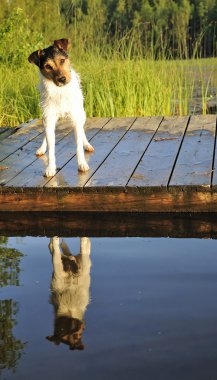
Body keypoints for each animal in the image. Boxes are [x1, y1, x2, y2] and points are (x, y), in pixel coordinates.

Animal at [28, 37, 94, 177]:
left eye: (62, 60)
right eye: (48, 66)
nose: (62, 79)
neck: (60, 92)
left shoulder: (76, 119)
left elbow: (78, 146)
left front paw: (82, 164)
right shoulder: (49, 120)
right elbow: (51, 148)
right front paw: (50, 168)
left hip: (82, 115)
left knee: (82, 131)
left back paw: (87, 144)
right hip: (46, 119)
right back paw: (42, 148)